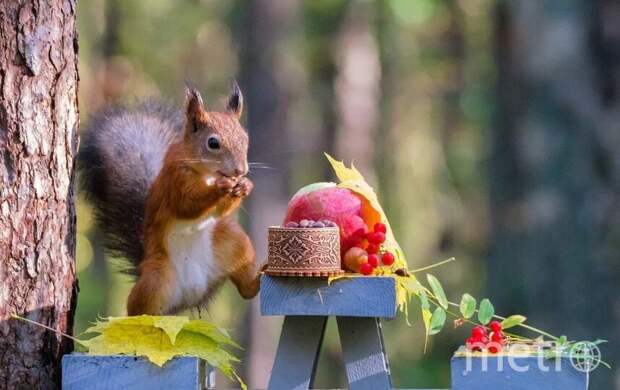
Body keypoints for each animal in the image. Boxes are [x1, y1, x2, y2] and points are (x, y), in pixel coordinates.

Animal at [78, 81, 260, 314]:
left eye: (245, 138)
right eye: (213, 143)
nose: (240, 170)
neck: (207, 172)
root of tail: (190, 298)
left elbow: (222, 210)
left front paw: (245, 186)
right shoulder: (175, 182)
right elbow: (187, 205)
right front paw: (220, 188)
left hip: (234, 244)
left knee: (247, 290)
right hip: (156, 278)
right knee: (141, 311)